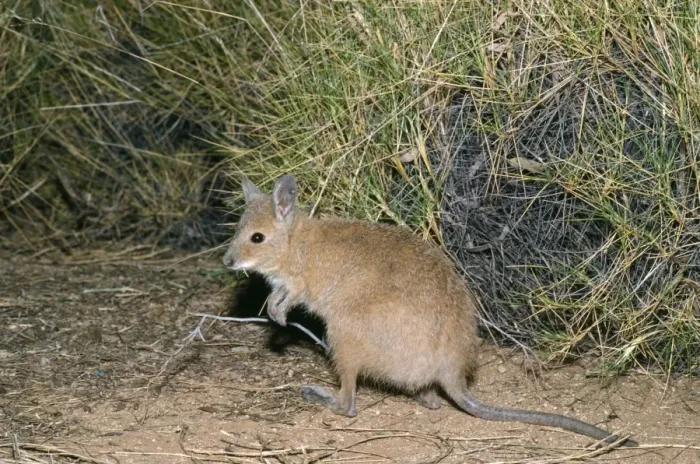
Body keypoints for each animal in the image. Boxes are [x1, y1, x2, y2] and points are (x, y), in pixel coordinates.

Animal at [222, 174, 636, 446]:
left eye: (256, 238)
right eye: (238, 230)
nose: (227, 261)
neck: (295, 243)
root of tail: (451, 373)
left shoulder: (299, 283)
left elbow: (289, 297)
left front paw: (278, 317)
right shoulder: (286, 283)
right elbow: (277, 298)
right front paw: (274, 316)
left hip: (344, 332)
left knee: (349, 404)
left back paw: (320, 397)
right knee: (430, 400)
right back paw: (425, 398)